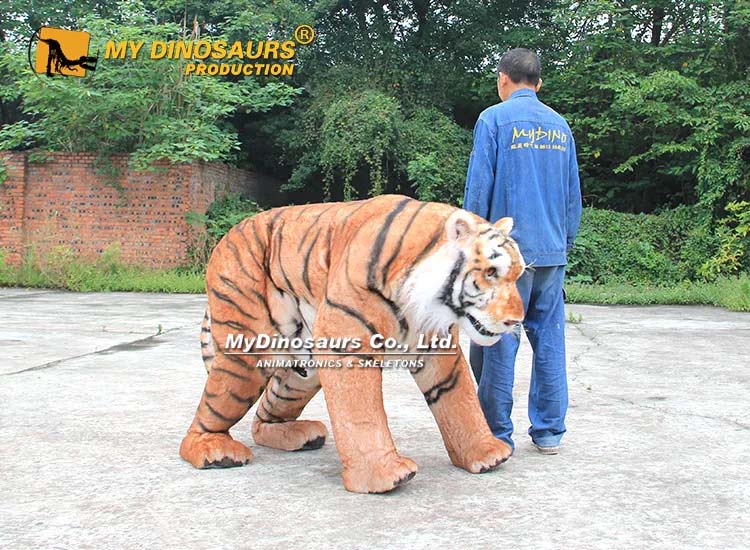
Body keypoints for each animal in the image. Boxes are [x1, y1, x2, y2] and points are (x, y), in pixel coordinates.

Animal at [180, 194, 526, 493]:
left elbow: (459, 397)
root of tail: (227, 236)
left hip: (303, 372)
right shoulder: (345, 341)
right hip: (248, 353)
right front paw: (384, 475)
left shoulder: (437, 347)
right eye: (491, 272)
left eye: (518, 274)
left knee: (265, 414)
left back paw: (299, 435)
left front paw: (487, 453)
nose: (517, 320)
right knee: (215, 407)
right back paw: (214, 450)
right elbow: (361, 412)